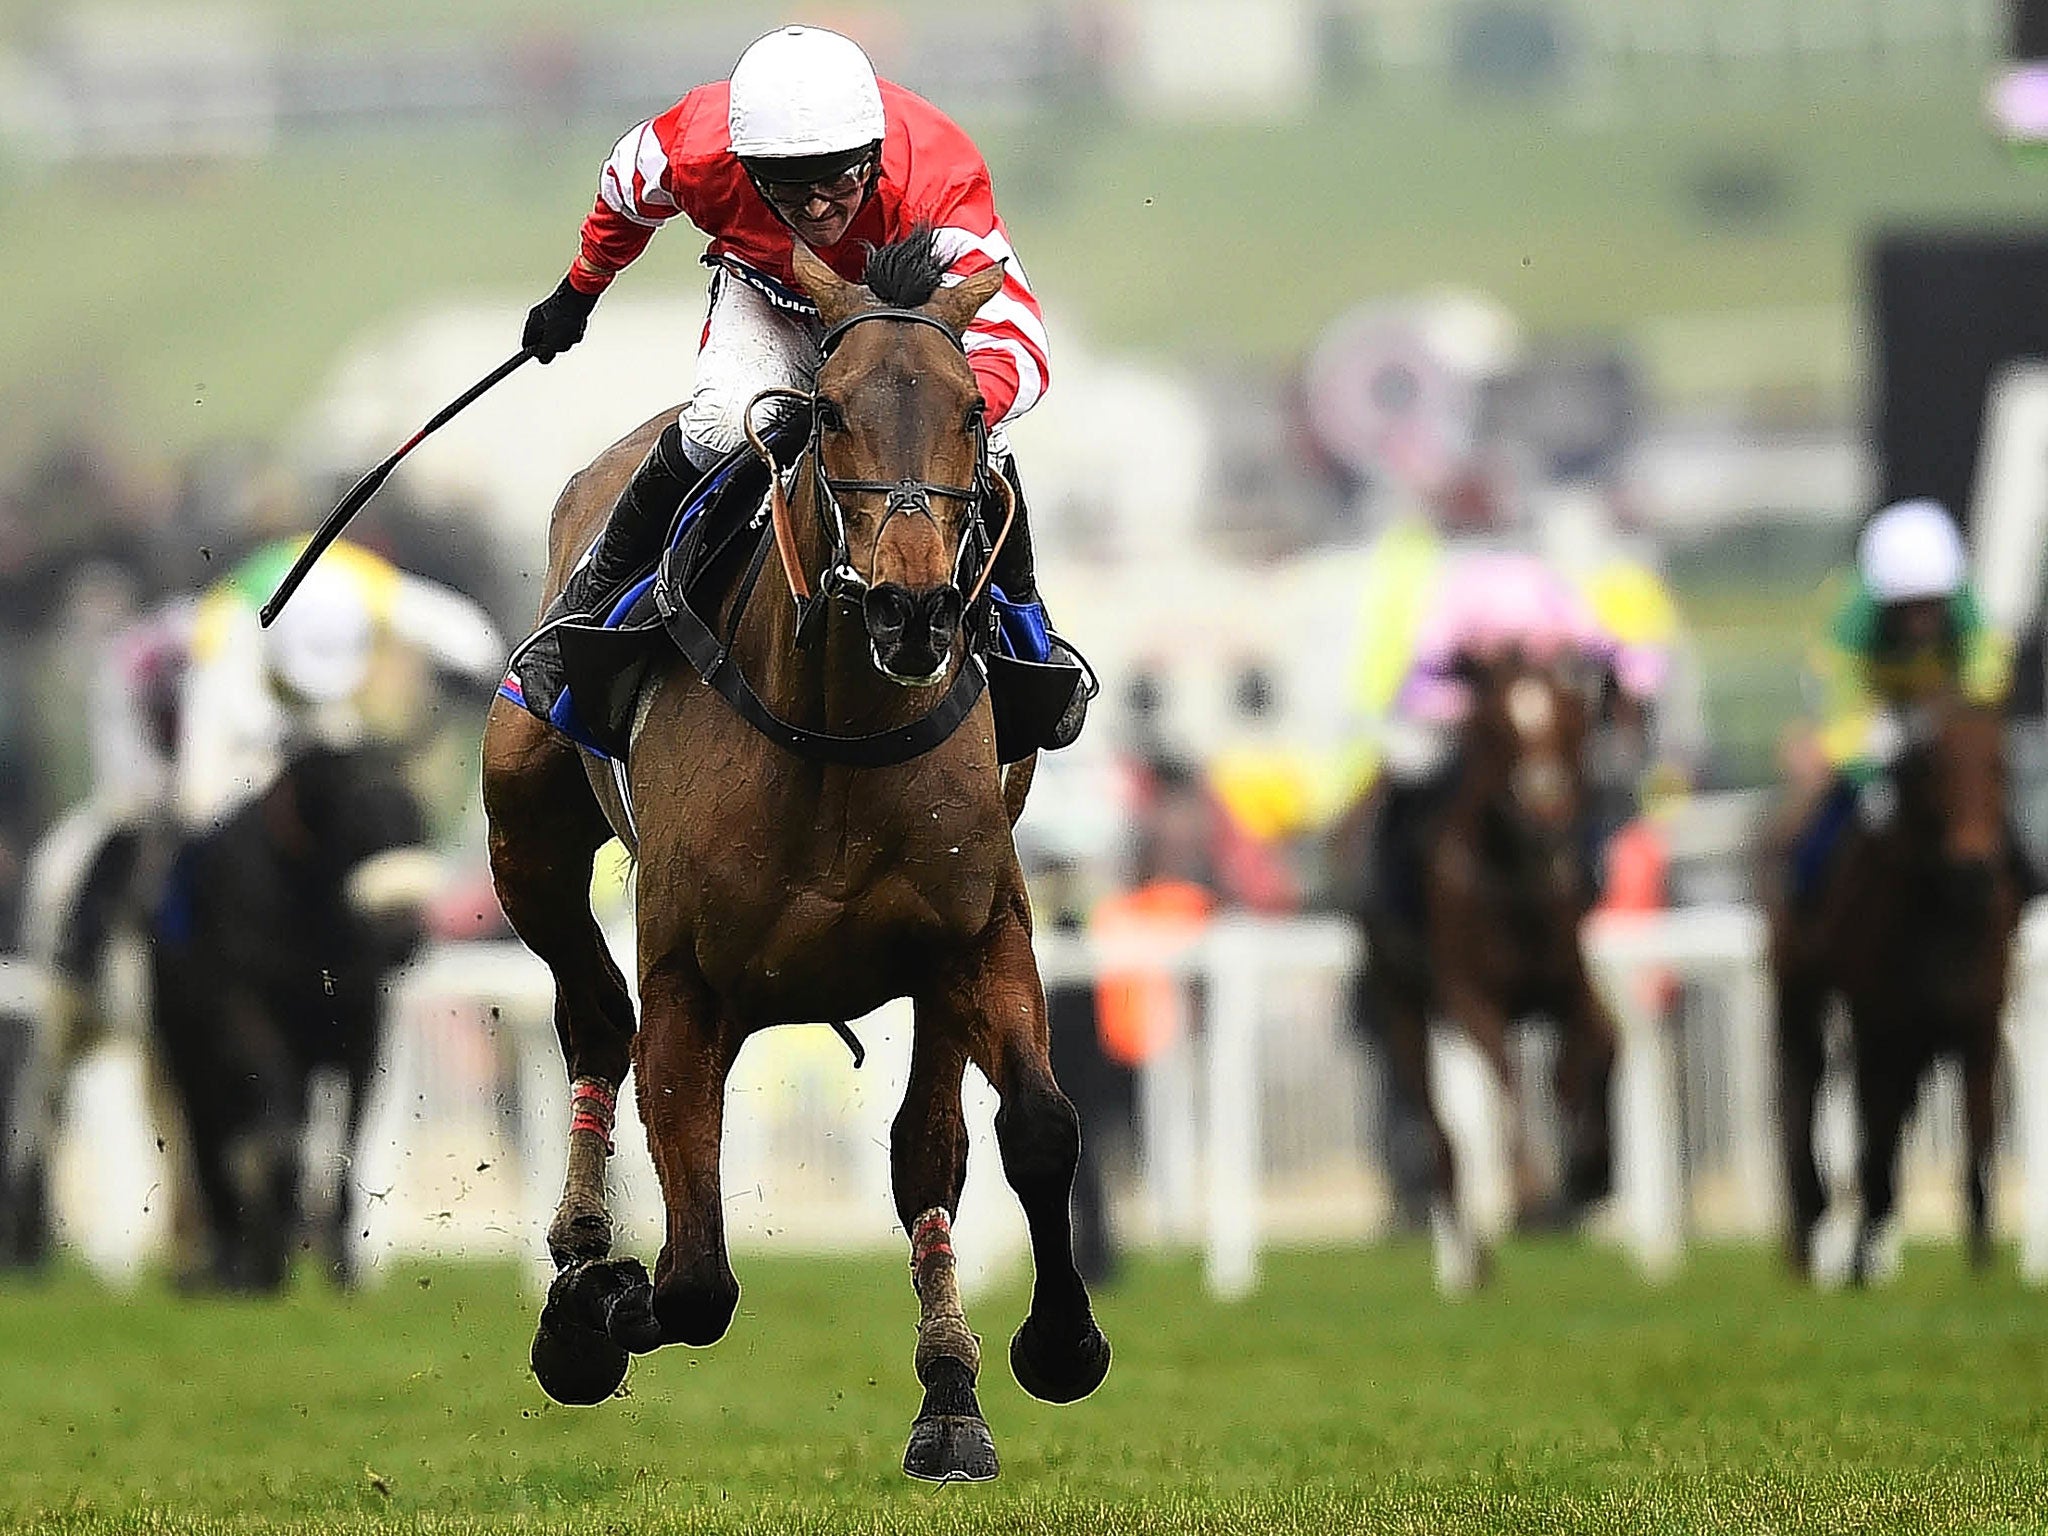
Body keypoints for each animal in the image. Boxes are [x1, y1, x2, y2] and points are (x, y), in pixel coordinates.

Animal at [150, 741, 440, 1294]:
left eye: (417, 818)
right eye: (357, 820)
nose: (402, 931)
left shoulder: (360, 1024)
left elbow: (346, 1138)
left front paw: (340, 1264)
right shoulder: (244, 1009)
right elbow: (275, 1137)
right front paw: (261, 1259)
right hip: (186, 1055)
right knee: (207, 1143)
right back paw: (227, 1261)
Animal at [481, 234, 1114, 1482]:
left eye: (976, 411)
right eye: (827, 413)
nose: (915, 609)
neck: (838, 733)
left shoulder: (980, 933)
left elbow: (1035, 1127)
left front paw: (1056, 1345)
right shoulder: (691, 988)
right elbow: (692, 1280)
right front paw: (589, 1311)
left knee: (928, 1151)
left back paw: (948, 1391)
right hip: (522, 836)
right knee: (594, 1020)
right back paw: (580, 1249)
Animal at [1351, 651, 1622, 1302]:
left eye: (1572, 723)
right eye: (1497, 731)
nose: (1546, 815)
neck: (1513, 877)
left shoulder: (1566, 981)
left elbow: (1601, 1048)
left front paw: (1593, 1171)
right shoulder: (1469, 997)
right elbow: (1505, 1086)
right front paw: (1531, 1194)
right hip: (1401, 1003)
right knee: (1442, 1132)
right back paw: (1465, 1261)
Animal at [1769, 696, 2023, 1286]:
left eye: (2000, 766)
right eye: (1933, 770)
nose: (1975, 871)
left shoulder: (1978, 1028)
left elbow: (1978, 1138)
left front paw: (1982, 1257)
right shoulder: (1876, 1027)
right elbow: (1874, 1142)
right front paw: (1860, 1261)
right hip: (1800, 990)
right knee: (1801, 1084)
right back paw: (1809, 1229)